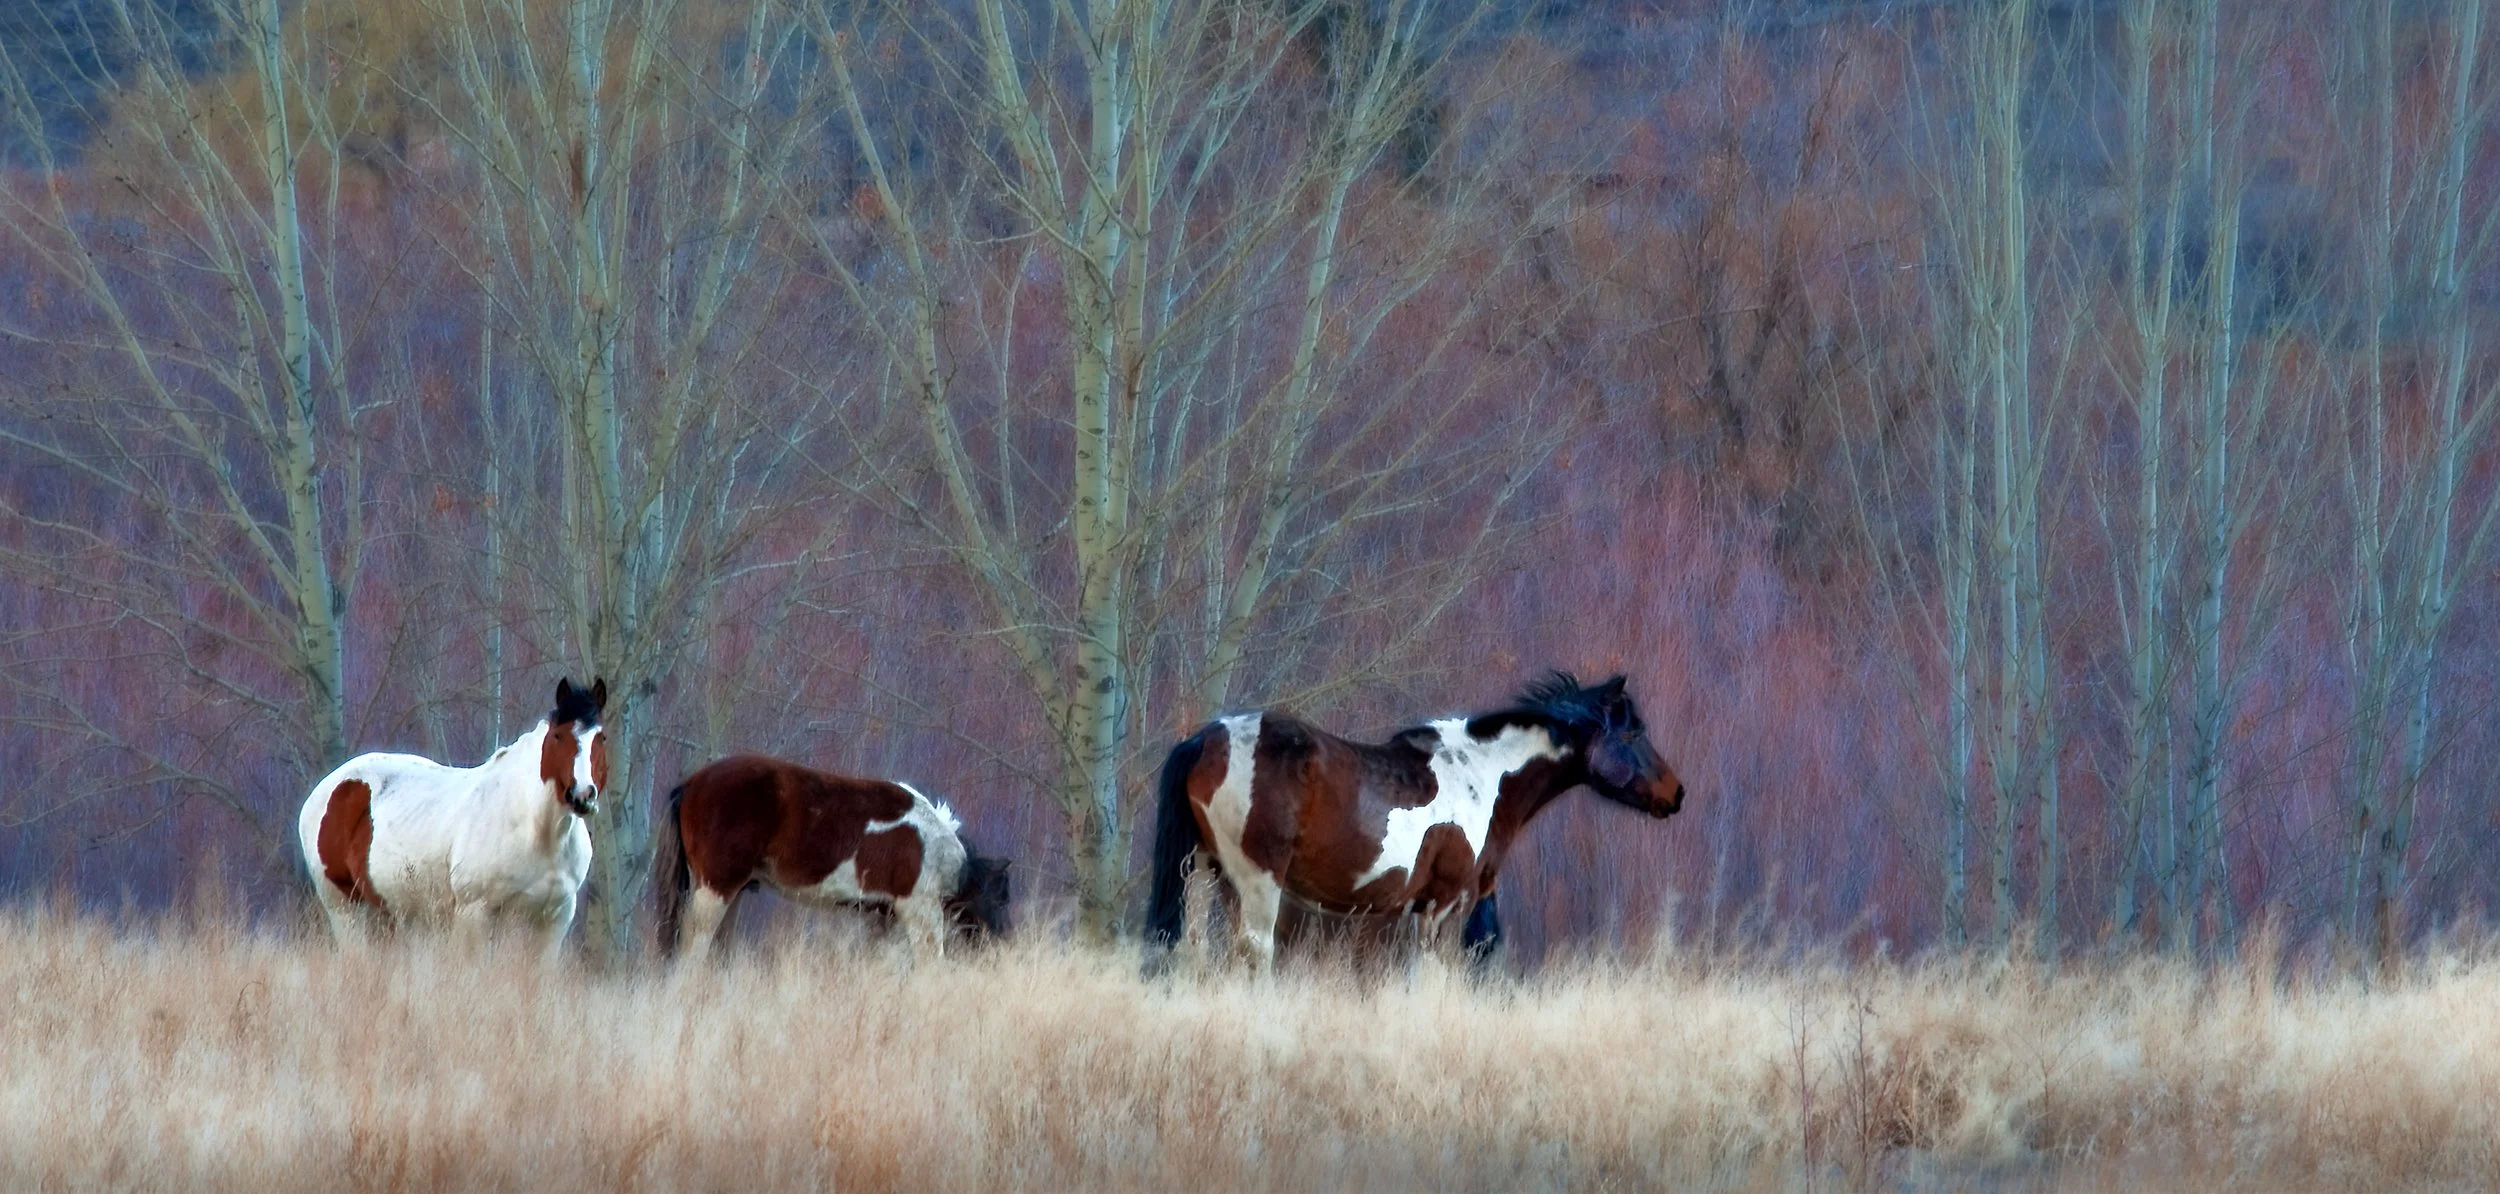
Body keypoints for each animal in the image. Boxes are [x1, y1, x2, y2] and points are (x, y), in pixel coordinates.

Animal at [296, 677, 609, 955]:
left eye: (601, 738)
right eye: (558, 735)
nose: (582, 795)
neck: (537, 831)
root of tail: (330, 787)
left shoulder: (554, 919)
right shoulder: (475, 913)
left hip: (394, 912)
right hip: (344, 907)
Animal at [652, 753, 1011, 960]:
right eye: (999, 899)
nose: (1000, 947)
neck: (931, 841)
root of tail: (691, 784)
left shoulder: (886, 917)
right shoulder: (918, 909)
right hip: (716, 889)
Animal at [1142, 672, 1683, 972]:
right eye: (1633, 732)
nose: (1675, 793)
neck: (1484, 775)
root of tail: (1205, 739)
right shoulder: (1447, 906)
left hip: (1201, 875)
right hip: (1253, 885)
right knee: (1253, 954)